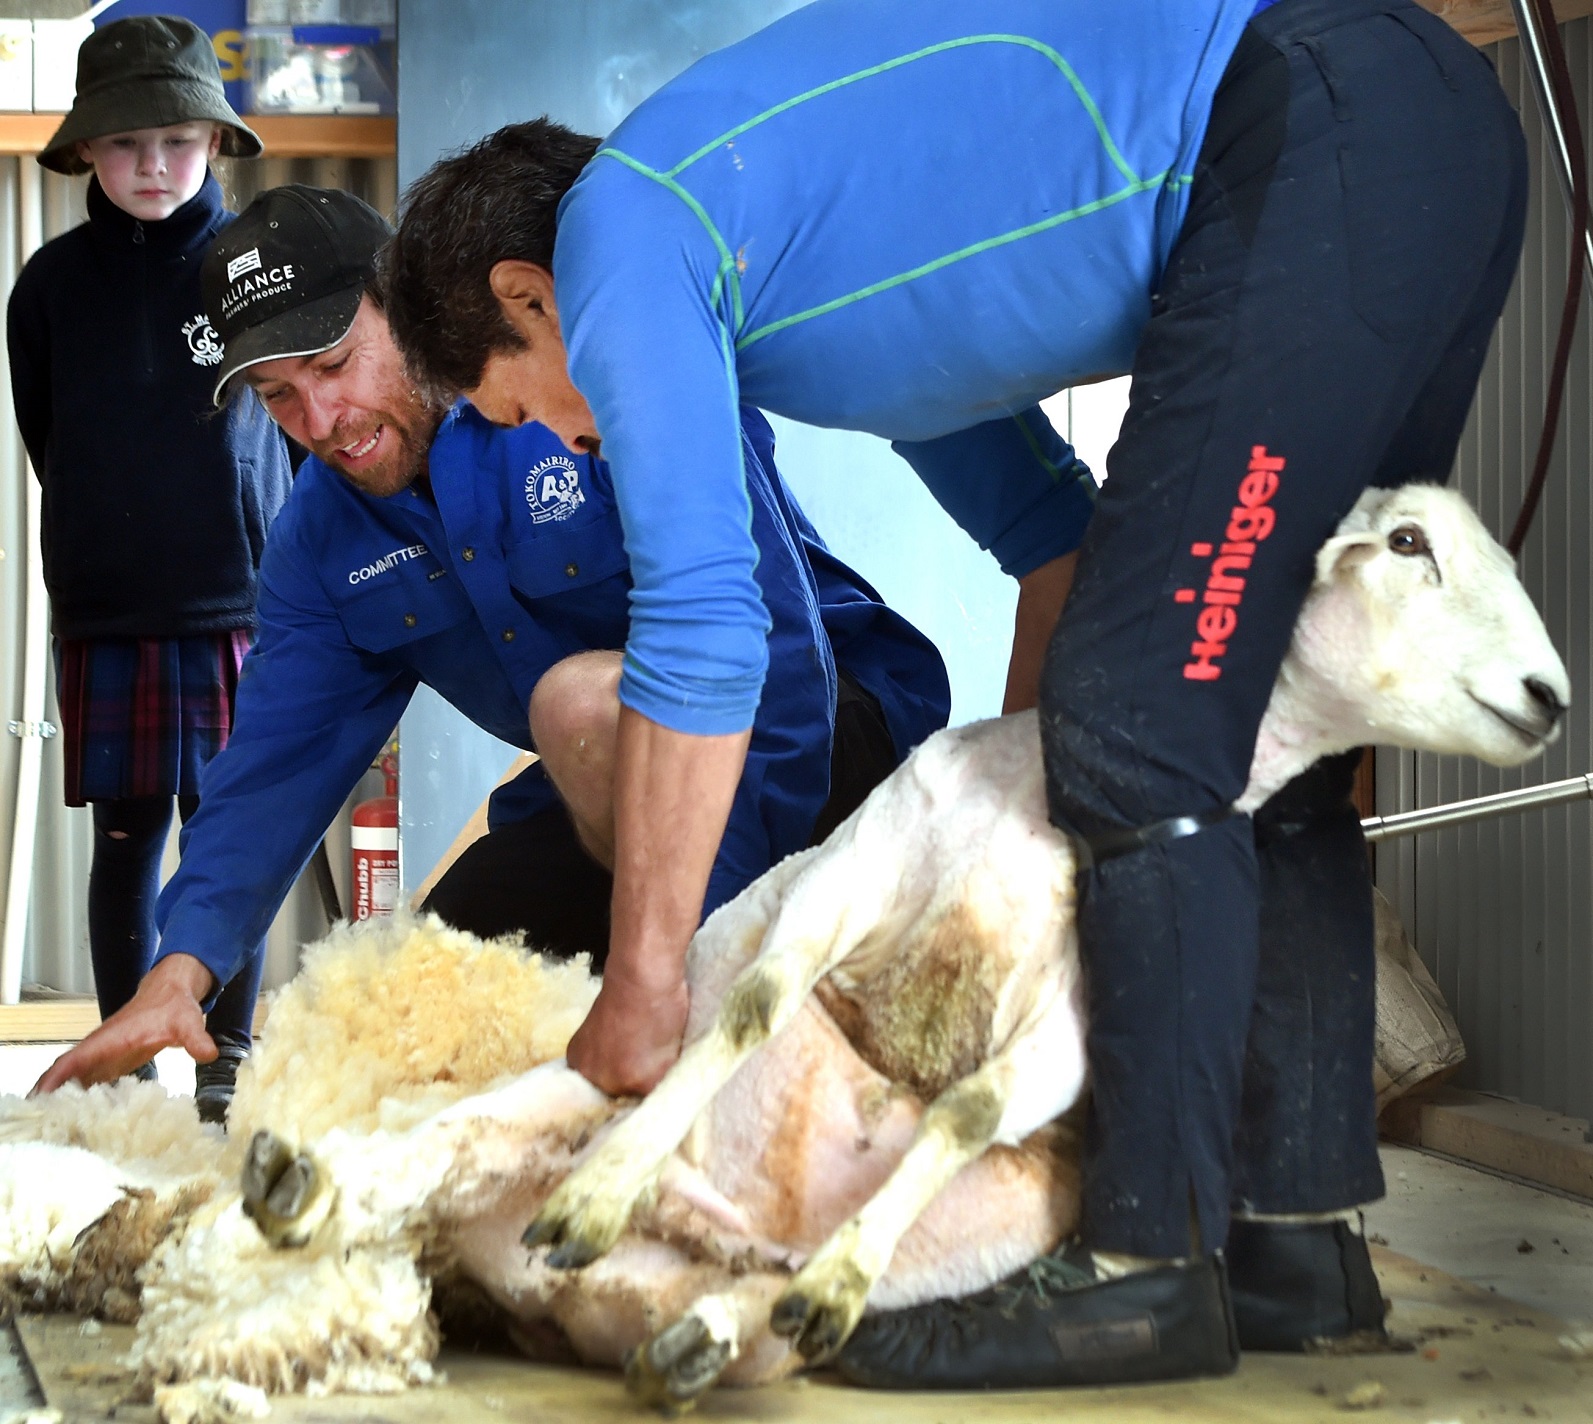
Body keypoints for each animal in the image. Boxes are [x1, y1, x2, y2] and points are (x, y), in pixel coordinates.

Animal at [0, 477, 1567, 1414]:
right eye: (1412, 544)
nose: (1553, 695)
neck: (1051, 808)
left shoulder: (1079, 1009)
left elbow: (977, 1102)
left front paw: (837, 1270)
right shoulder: (860, 880)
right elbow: (753, 1005)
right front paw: (612, 1180)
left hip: (899, 1255)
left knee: (724, 1318)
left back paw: (727, 1325)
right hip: (549, 1097)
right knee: (414, 1166)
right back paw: (320, 1184)